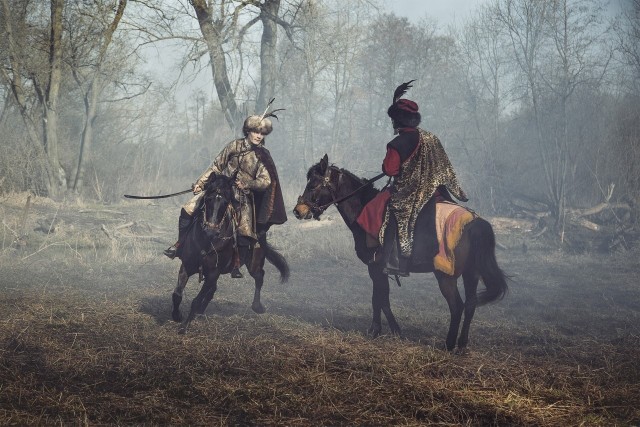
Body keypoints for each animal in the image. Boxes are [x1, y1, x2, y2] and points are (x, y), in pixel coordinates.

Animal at [171, 174, 288, 334]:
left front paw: (184, 327)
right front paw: (177, 316)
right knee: (212, 289)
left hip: (254, 263)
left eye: (225, 202)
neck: (206, 241)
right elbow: (177, 294)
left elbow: (196, 300)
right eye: (208, 199)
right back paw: (200, 312)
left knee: (259, 276)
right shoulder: (187, 266)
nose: (211, 231)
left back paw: (257, 306)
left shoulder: (213, 273)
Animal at [292, 155, 508, 352]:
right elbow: (381, 298)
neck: (363, 207)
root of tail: (475, 223)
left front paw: (381, 330)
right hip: (471, 273)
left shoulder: (375, 267)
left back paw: (448, 345)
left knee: (457, 306)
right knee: (471, 304)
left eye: (313, 185)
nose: (298, 211)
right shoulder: (379, 269)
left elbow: (380, 299)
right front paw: (388, 331)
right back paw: (462, 345)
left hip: (445, 275)